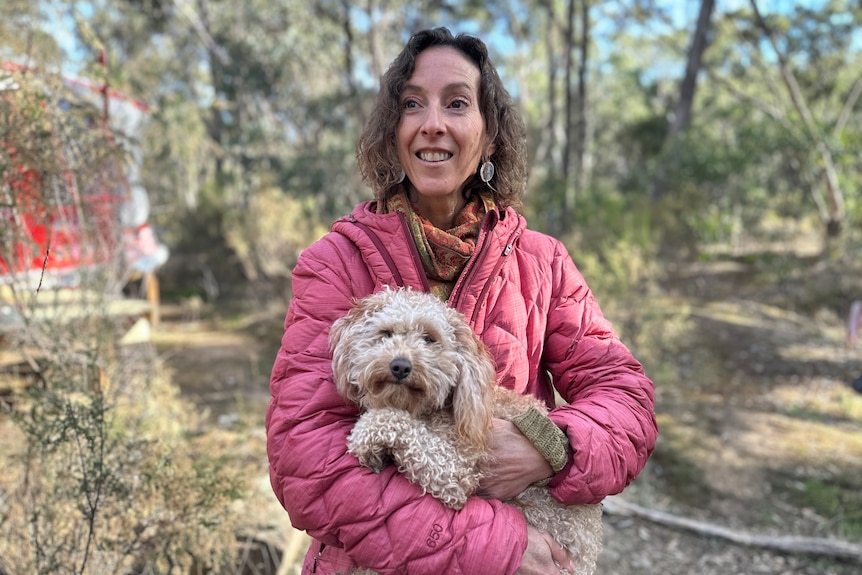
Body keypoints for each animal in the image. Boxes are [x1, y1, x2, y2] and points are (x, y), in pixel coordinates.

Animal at [330, 288, 608, 575]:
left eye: (429, 339)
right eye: (386, 333)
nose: (400, 366)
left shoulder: (454, 470)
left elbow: (395, 422)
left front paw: (364, 437)